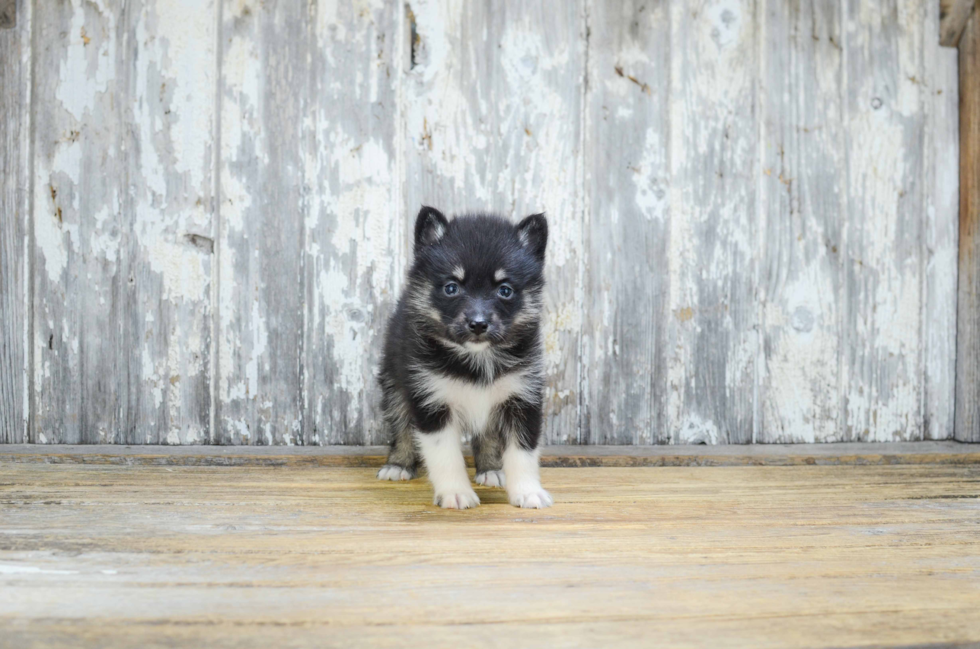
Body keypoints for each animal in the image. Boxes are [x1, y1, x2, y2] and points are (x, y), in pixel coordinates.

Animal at [378, 205, 552, 508]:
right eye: (451, 287)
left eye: (505, 290)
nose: (478, 324)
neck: (477, 358)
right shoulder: (431, 399)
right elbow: (445, 455)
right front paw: (455, 492)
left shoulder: (522, 397)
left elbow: (523, 452)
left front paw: (528, 491)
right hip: (394, 382)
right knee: (400, 424)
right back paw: (398, 464)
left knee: (489, 435)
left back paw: (491, 469)